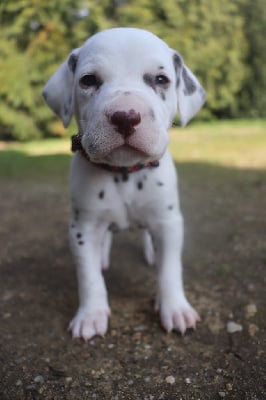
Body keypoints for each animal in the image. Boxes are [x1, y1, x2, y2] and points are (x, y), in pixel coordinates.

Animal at [43, 27, 206, 340]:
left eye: (160, 79)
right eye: (88, 80)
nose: (126, 116)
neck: (124, 171)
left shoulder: (169, 222)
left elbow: (170, 270)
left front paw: (175, 308)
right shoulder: (82, 229)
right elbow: (89, 276)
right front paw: (91, 315)